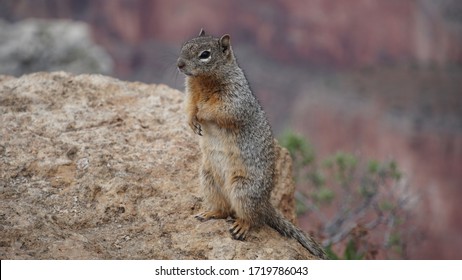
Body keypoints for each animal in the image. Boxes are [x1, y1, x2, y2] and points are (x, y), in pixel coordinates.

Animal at [178, 29, 328, 260]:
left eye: (205, 54)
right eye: (185, 45)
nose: (179, 64)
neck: (203, 82)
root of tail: (266, 203)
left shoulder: (235, 98)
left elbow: (222, 110)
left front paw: (203, 112)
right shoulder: (191, 94)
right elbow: (188, 107)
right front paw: (192, 121)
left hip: (244, 189)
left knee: (252, 218)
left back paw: (241, 226)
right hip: (208, 179)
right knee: (224, 210)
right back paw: (210, 212)